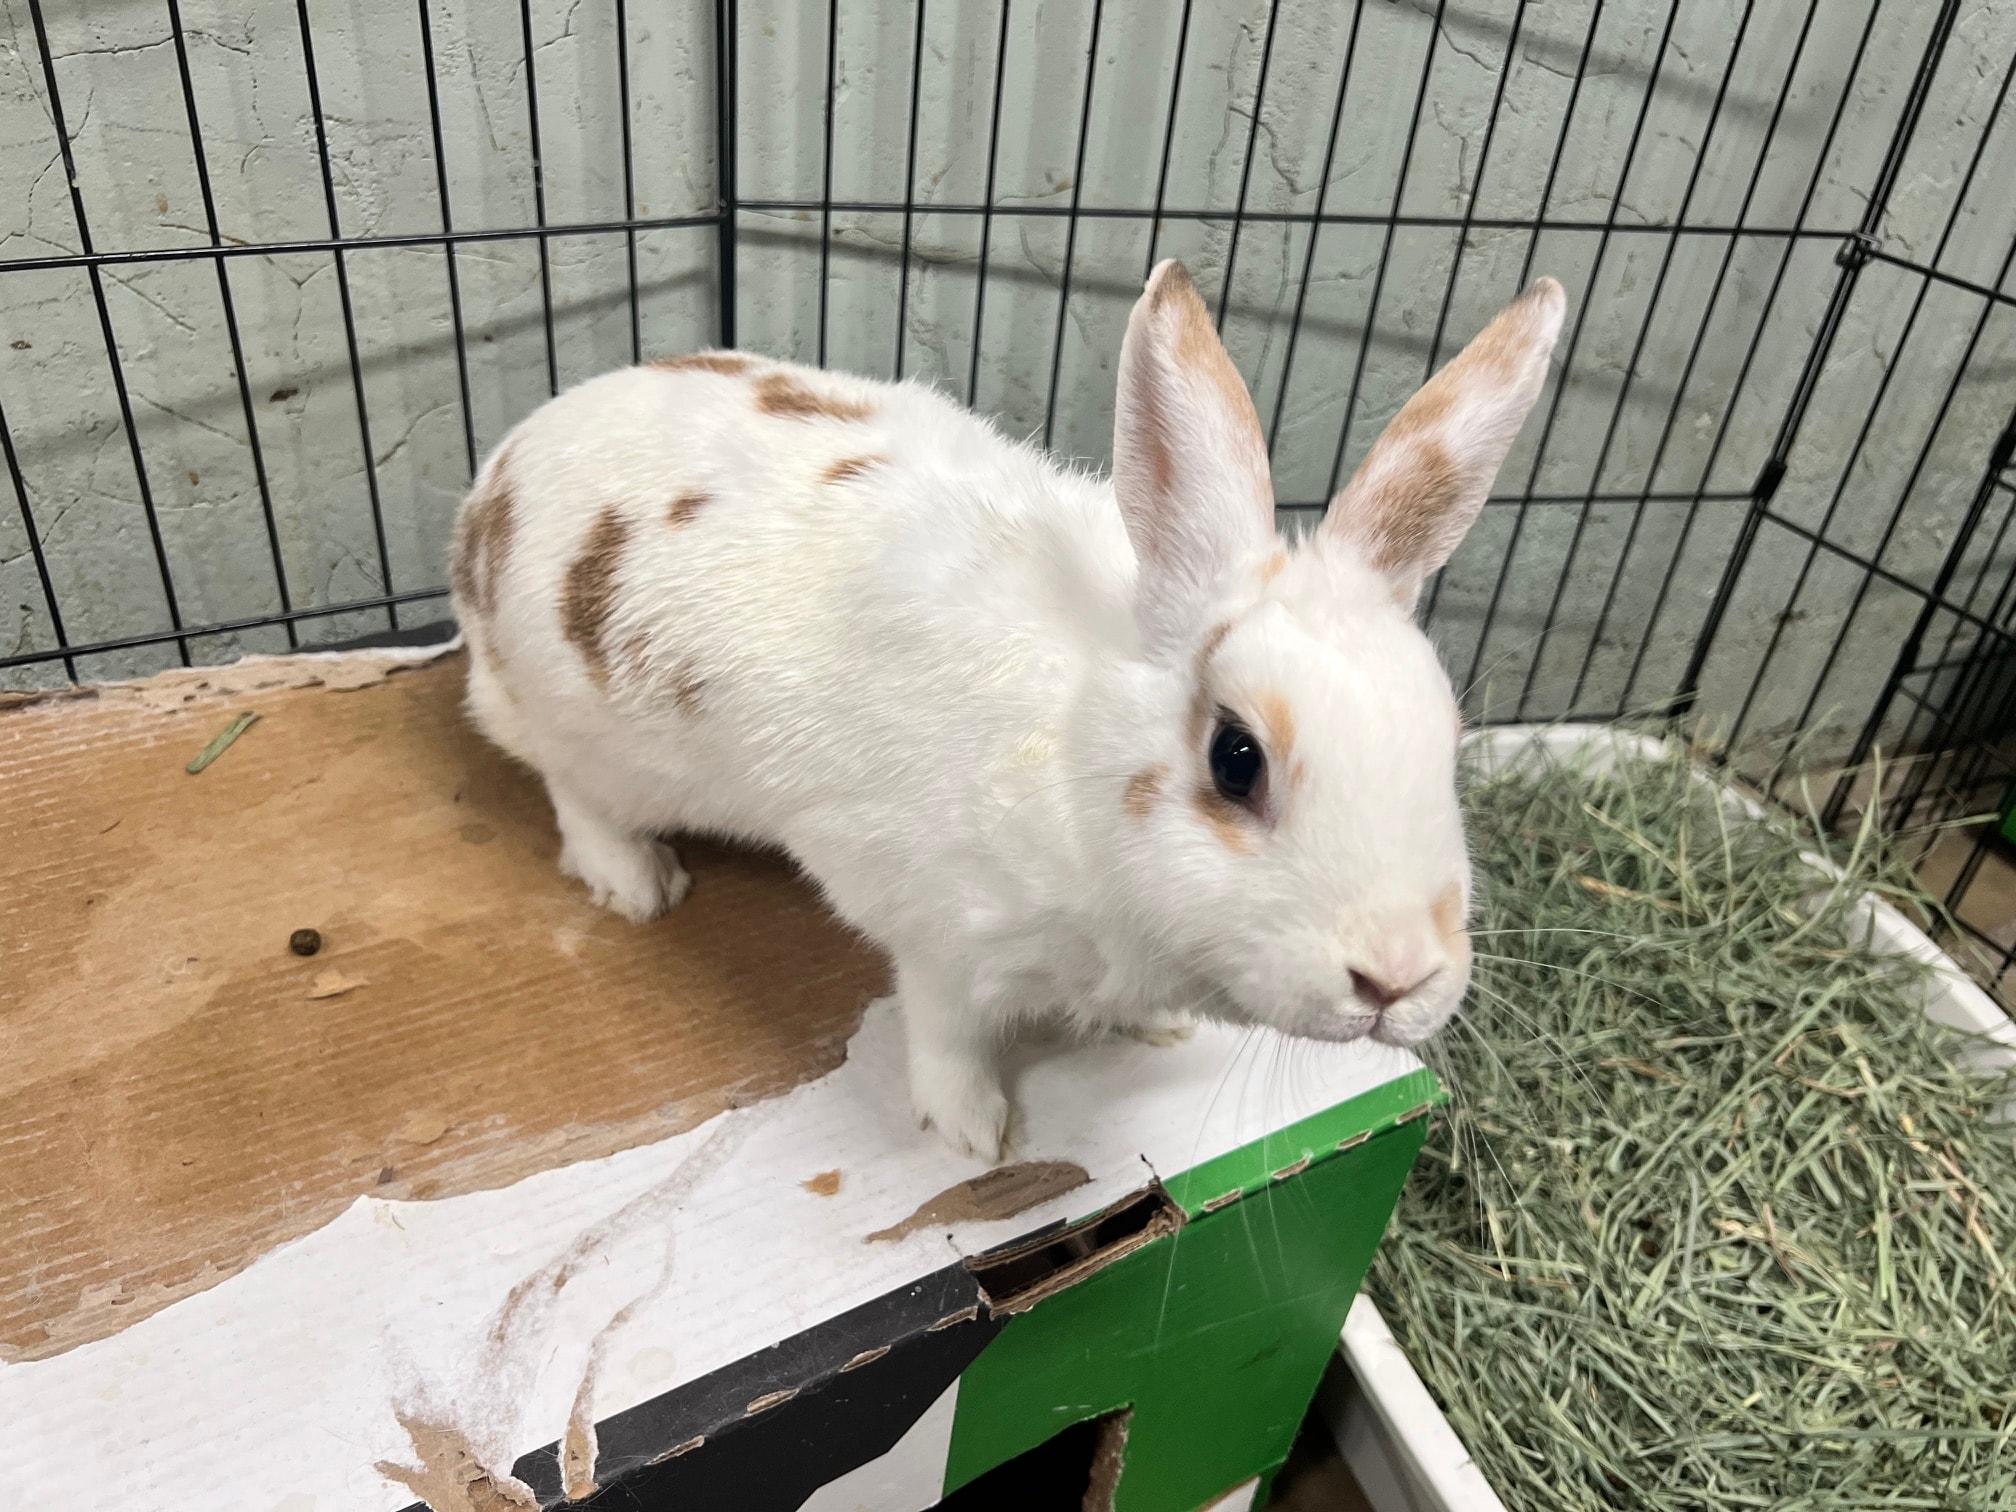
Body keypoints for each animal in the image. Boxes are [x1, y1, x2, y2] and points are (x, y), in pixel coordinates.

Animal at [451, 260, 1566, 1162]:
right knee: (573, 792)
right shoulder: (945, 936)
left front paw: (1162, 1032)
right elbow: (945, 1033)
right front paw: (972, 1133)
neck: (1077, 755)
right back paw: (637, 885)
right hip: (580, 727)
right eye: (1236, 757)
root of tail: (490, 487)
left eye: (1449, 740)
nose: (1398, 977)